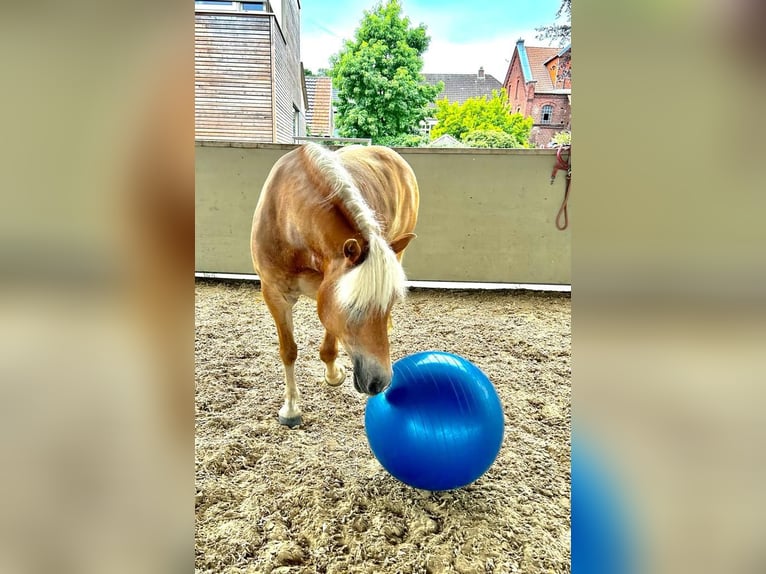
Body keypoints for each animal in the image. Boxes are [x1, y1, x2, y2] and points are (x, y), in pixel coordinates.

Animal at [250, 144, 420, 430]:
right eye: (353, 306)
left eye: (391, 302)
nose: (380, 381)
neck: (288, 219)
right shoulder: (274, 294)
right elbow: (288, 351)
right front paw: (291, 408)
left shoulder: (327, 288)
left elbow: (330, 338)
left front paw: (333, 373)